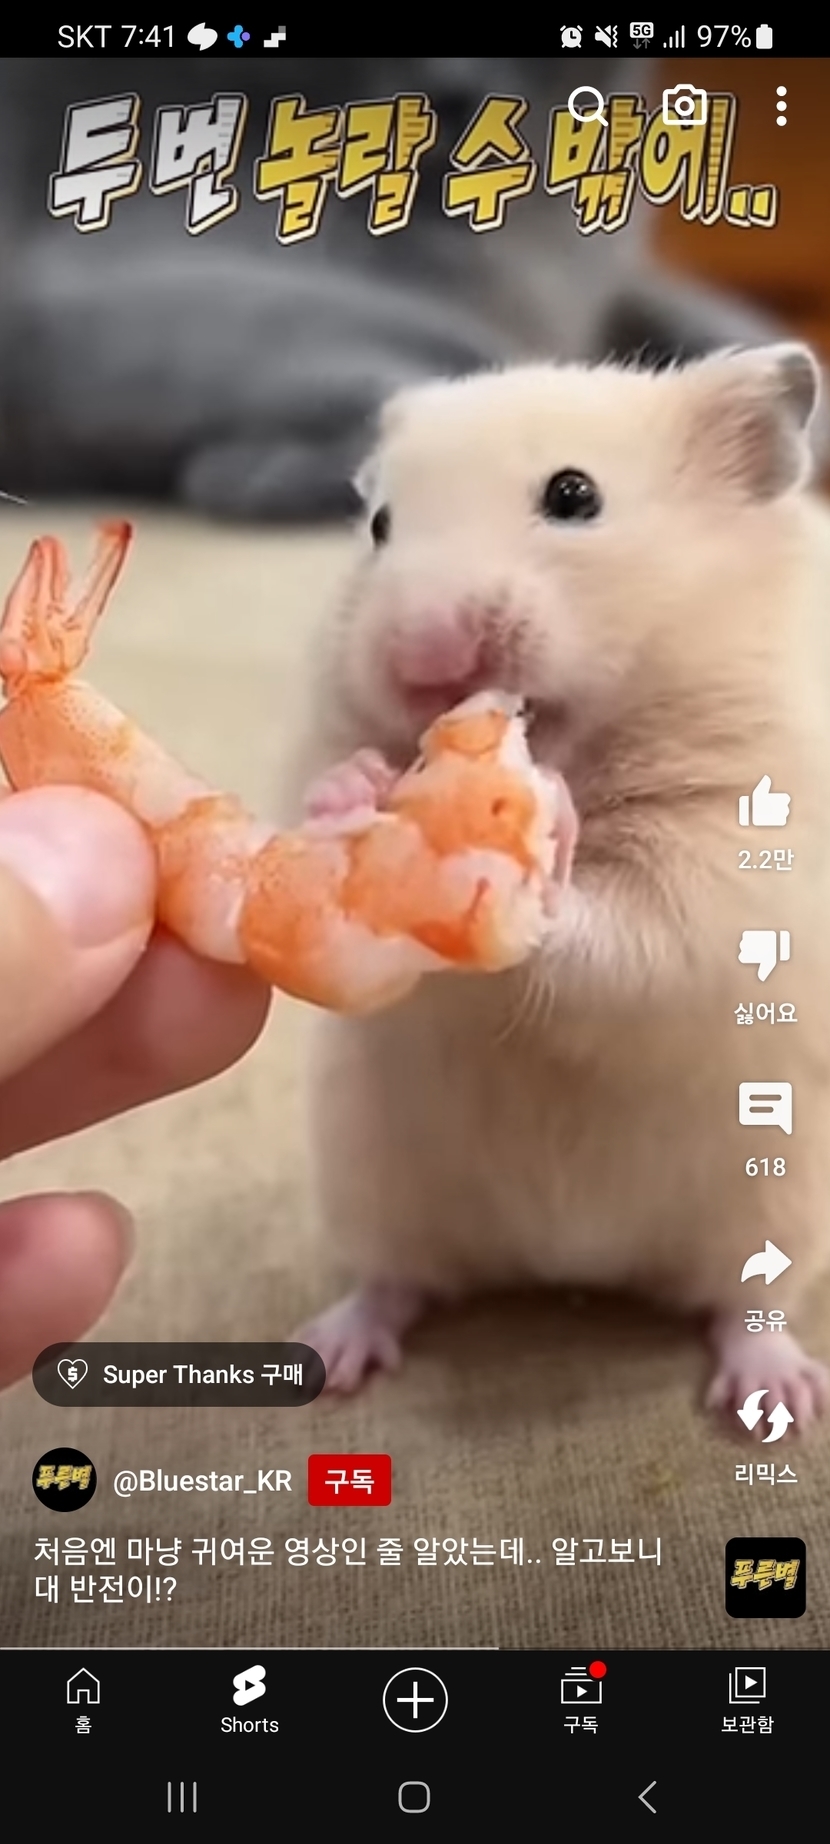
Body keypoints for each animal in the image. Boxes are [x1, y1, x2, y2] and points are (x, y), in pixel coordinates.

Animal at [287, 344, 830, 1425]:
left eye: (574, 496)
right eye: (378, 525)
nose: (422, 653)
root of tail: (568, 1261)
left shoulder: (734, 855)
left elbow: (640, 933)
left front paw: (540, 877)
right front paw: (355, 791)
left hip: (780, 1198)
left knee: (741, 1303)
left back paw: (778, 1398)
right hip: (369, 1173)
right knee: (397, 1280)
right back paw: (331, 1353)